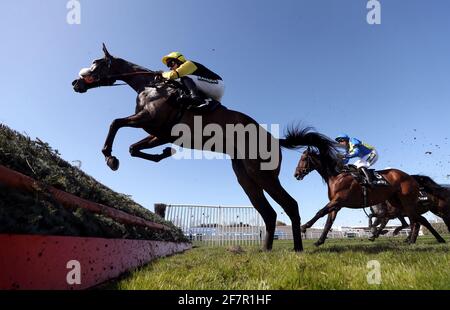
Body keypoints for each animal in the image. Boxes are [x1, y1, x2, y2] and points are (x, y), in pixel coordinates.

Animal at [71, 44, 330, 252]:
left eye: (97, 63)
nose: (76, 82)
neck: (151, 87)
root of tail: (275, 140)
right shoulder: (160, 133)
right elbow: (133, 148)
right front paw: (161, 154)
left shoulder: (149, 120)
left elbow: (115, 123)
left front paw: (109, 156)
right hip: (245, 176)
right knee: (269, 213)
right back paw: (265, 250)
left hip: (262, 174)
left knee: (290, 205)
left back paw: (298, 249)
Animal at [292, 132, 446, 246]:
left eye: (303, 159)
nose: (296, 174)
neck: (337, 176)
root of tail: (411, 177)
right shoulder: (337, 205)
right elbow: (328, 222)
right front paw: (319, 241)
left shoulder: (338, 200)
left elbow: (320, 212)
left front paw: (304, 226)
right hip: (399, 203)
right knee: (417, 220)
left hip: (407, 203)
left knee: (420, 221)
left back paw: (434, 239)